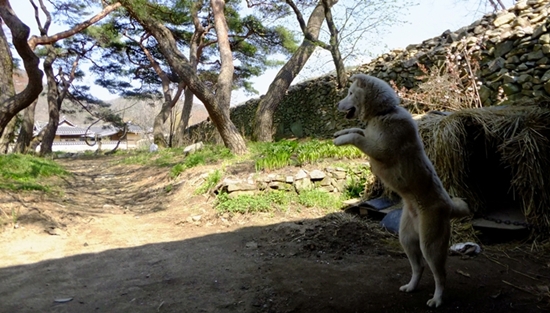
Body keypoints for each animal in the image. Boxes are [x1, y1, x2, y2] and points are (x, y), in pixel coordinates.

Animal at [332, 73, 470, 308]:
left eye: (350, 93)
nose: (337, 105)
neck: (383, 113)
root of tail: (448, 206)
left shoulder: (380, 150)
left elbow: (357, 136)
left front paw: (341, 139)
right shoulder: (370, 136)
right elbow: (357, 130)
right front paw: (339, 132)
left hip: (430, 245)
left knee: (440, 275)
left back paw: (437, 299)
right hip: (406, 238)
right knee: (419, 267)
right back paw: (411, 287)